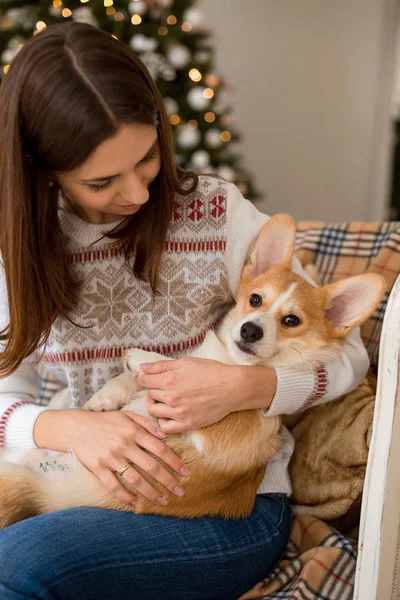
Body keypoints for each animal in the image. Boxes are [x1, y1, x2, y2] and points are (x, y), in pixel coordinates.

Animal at [0, 213, 384, 528]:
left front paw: (140, 356)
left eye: (292, 321)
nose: (250, 330)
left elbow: (174, 365)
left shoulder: (214, 434)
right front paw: (107, 395)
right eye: (255, 300)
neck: (228, 360)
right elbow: (139, 377)